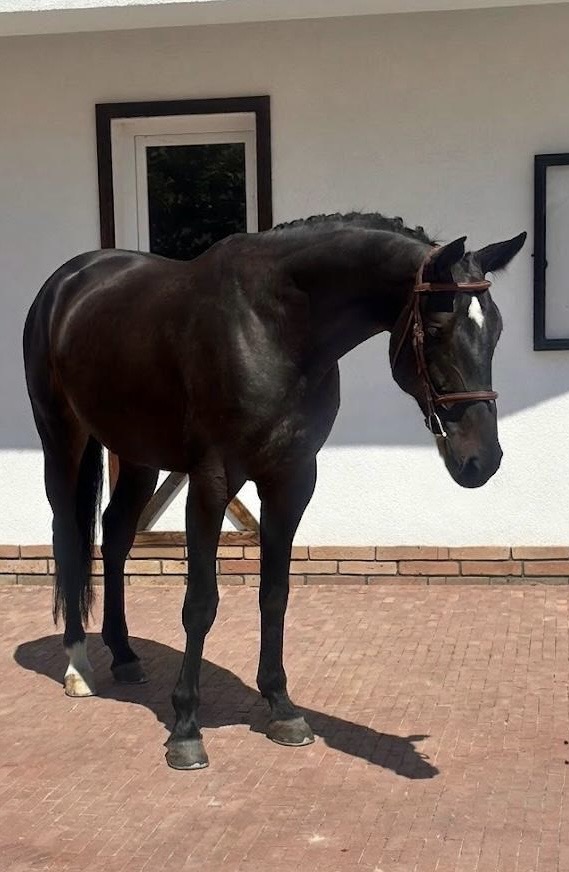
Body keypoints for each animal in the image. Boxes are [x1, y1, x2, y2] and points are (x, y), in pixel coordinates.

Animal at [23, 212, 526, 769]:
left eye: (496, 330)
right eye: (437, 329)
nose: (482, 460)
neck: (275, 329)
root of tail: (66, 282)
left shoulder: (291, 480)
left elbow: (276, 595)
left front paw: (281, 707)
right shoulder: (211, 481)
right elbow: (201, 602)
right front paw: (186, 728)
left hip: (137, 452)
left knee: (114, 536)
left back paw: (126, 655)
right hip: (61, 437)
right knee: (69, 537)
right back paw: (78, 666)